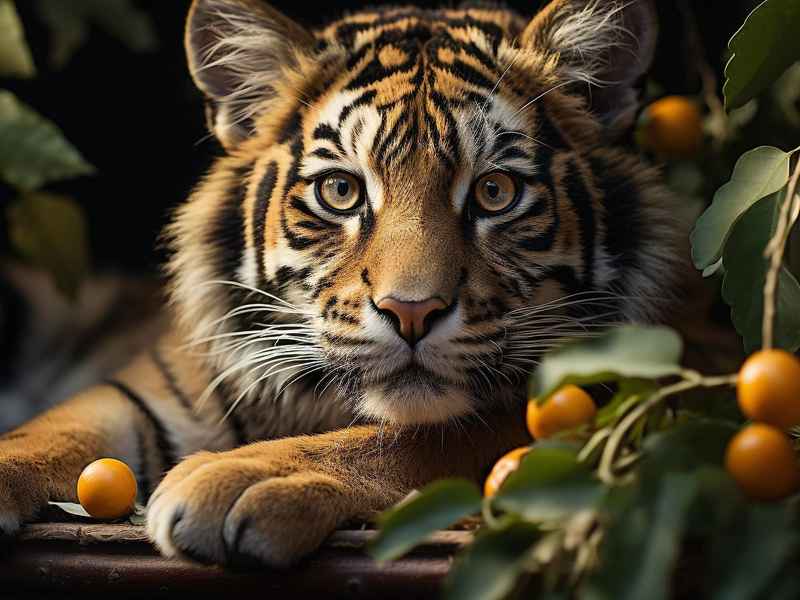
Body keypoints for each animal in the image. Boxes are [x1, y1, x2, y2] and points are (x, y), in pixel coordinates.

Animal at [0, 0, 683, 567]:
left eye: (495, 191)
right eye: (341, 191)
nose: (412, 311)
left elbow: (420, 440)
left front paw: (245, 476)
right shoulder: (142, 390)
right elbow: (50, 432)